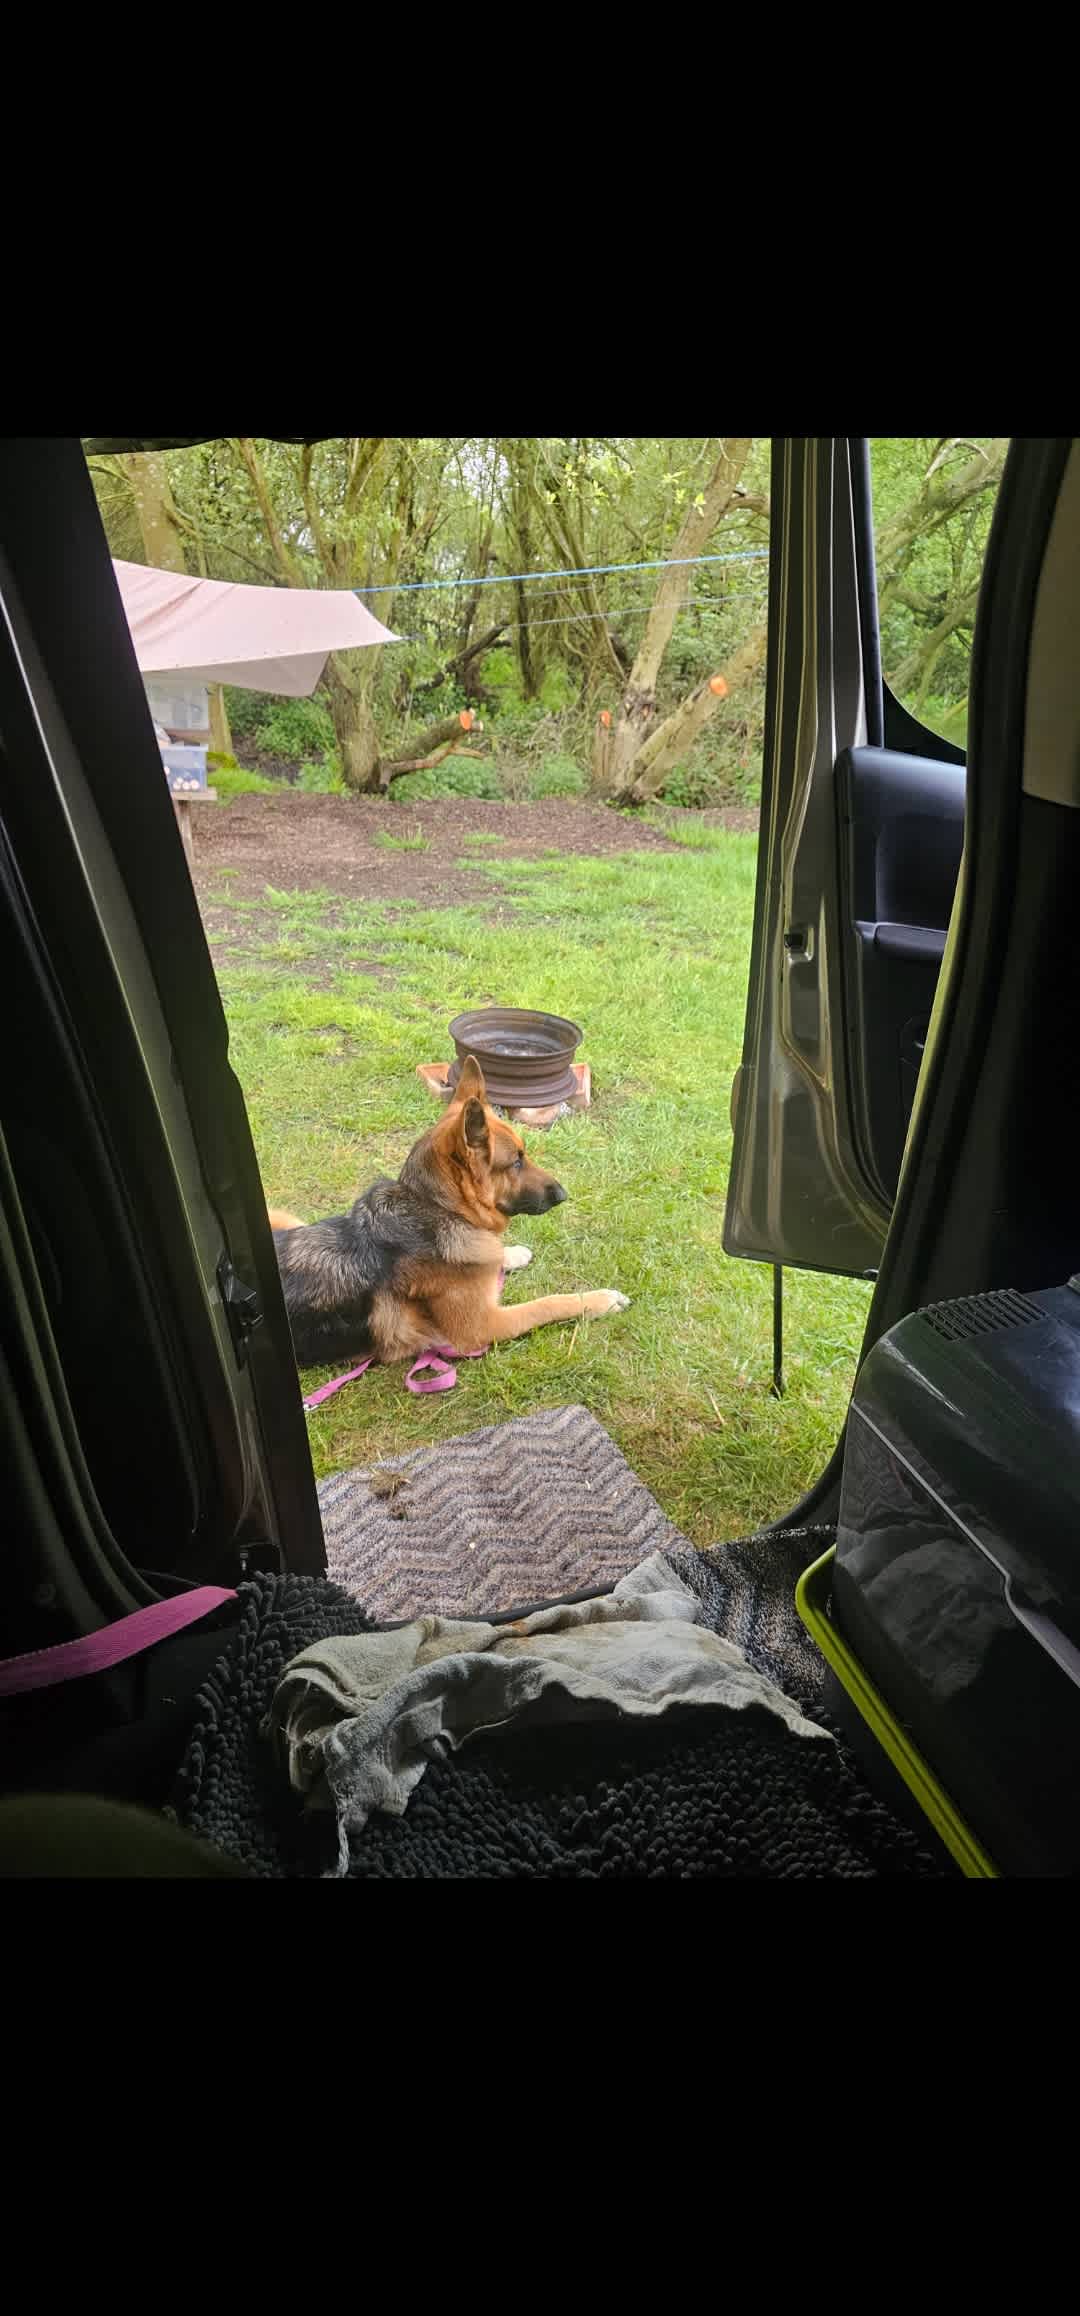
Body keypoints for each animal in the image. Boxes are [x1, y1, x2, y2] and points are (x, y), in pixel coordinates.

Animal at [264, 1056, 630, 1361]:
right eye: (516, 1161)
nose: (564, 1194)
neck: (437, 1209)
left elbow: (495, 1259)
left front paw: (509, 1254)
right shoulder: (483, 1326)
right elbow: (547, 1304)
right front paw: (598, 1300)